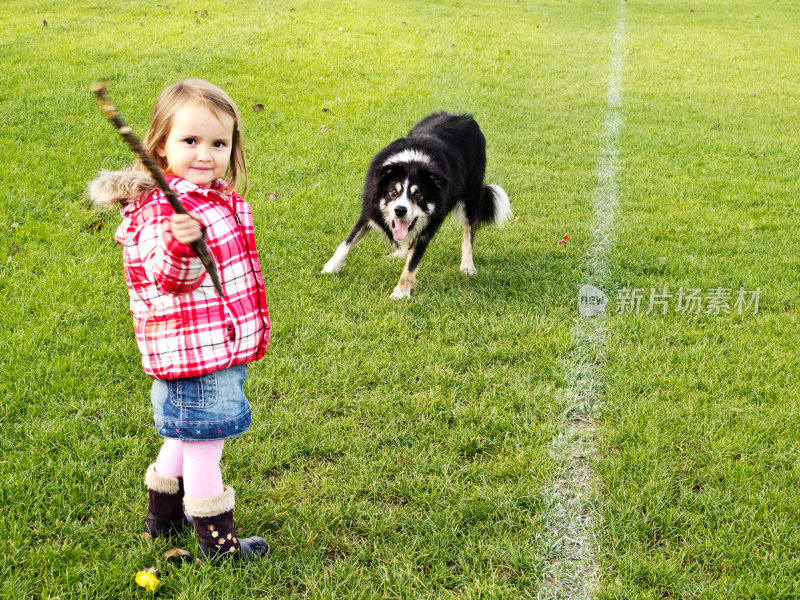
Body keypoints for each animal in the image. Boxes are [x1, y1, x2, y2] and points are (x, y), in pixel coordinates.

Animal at [320, 111, 512, 298]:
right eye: (393, 192)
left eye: (418, 195)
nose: (400, 211)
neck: (413, 163)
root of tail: (465, 117)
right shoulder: (370, 210)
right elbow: (348, 241)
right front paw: (330, 267)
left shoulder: (428, 227)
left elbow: (412, 263)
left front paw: (401, 292)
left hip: (471, 195)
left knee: (468, 232)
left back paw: (467, 265)